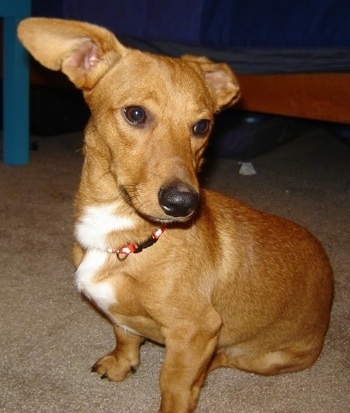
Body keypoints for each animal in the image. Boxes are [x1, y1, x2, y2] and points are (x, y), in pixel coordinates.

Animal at [17, 17, 334, 410]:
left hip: (265, 357)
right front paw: (122, 364)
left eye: (202, 126)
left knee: (225, 359)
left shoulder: (196, 331)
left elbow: (174, 384)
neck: (129, 238)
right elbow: (124, 335)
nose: (184, 204)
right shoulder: (122, 317)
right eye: (135, 113)